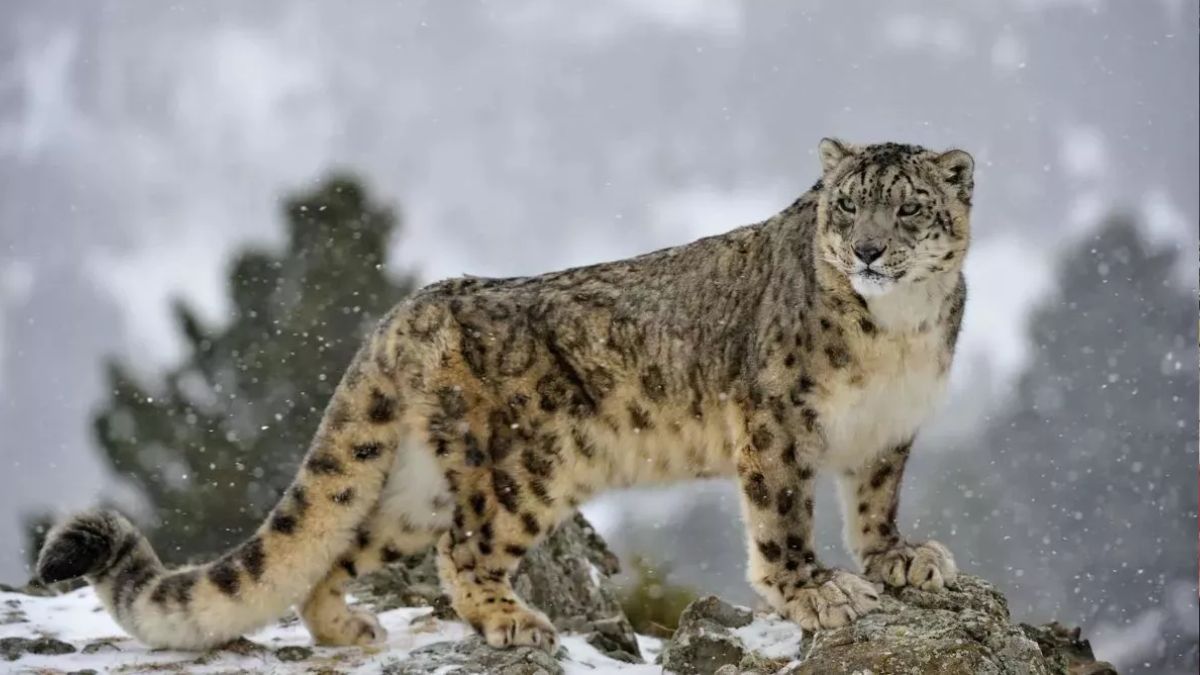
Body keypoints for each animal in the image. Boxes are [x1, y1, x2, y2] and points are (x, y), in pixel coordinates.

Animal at [37, 138, 974, 653]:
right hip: (530, 464)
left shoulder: (889, 430)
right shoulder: (776, 421)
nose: (868, 250)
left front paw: (900, 558)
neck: (900, 331)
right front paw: (818, 590)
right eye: (846, 204)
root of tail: (412, 306)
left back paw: (347, 628)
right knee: (465, 546)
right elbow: (782, 518)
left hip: (415, 482)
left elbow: (875, 504)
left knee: (347, 543)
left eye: (907, 209)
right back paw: (509, 617)